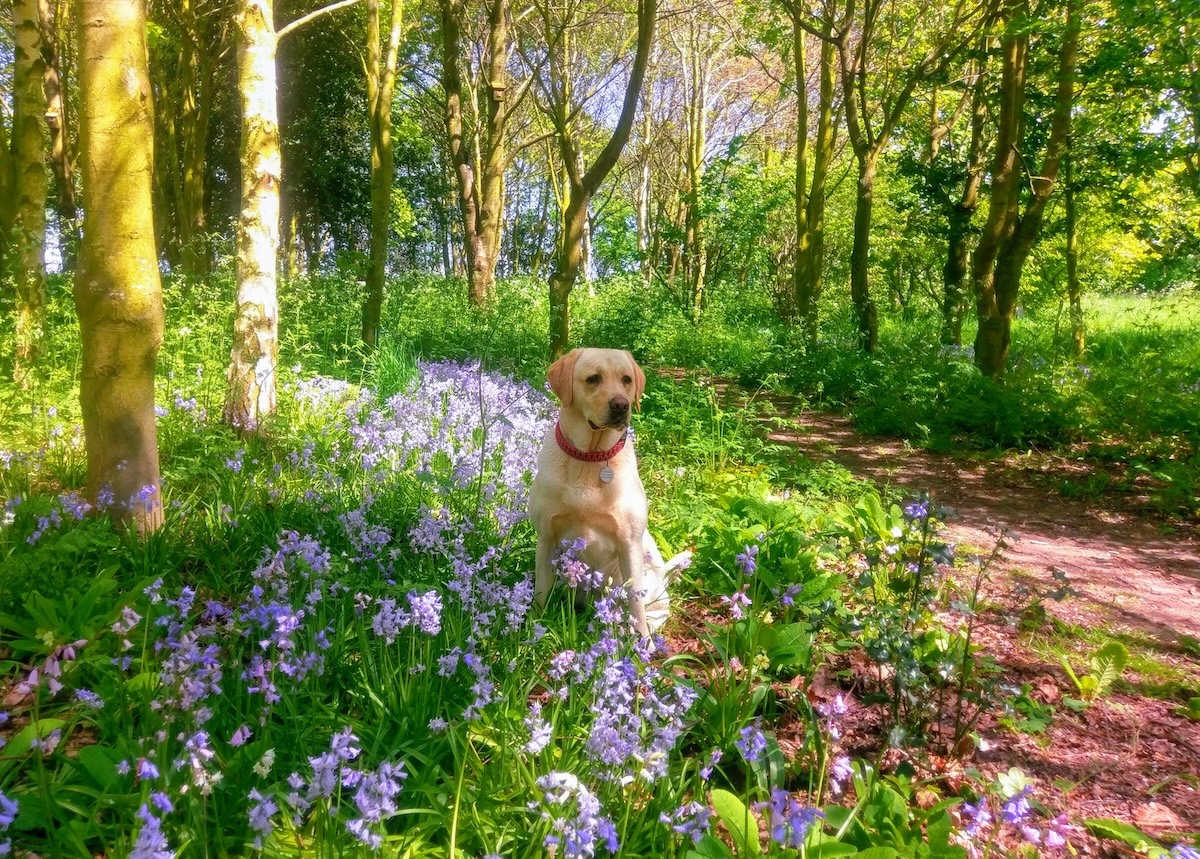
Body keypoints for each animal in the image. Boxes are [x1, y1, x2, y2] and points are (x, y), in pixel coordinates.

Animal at [532, 347, 691, 638]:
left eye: (626, 380)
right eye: (593, 379)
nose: (621, 405)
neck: (590, 458)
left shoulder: (629, 545)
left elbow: (636, 606)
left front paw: (642, 644)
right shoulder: (546, 537)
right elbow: (540, 590)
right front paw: (530, 629)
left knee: (653, 611)